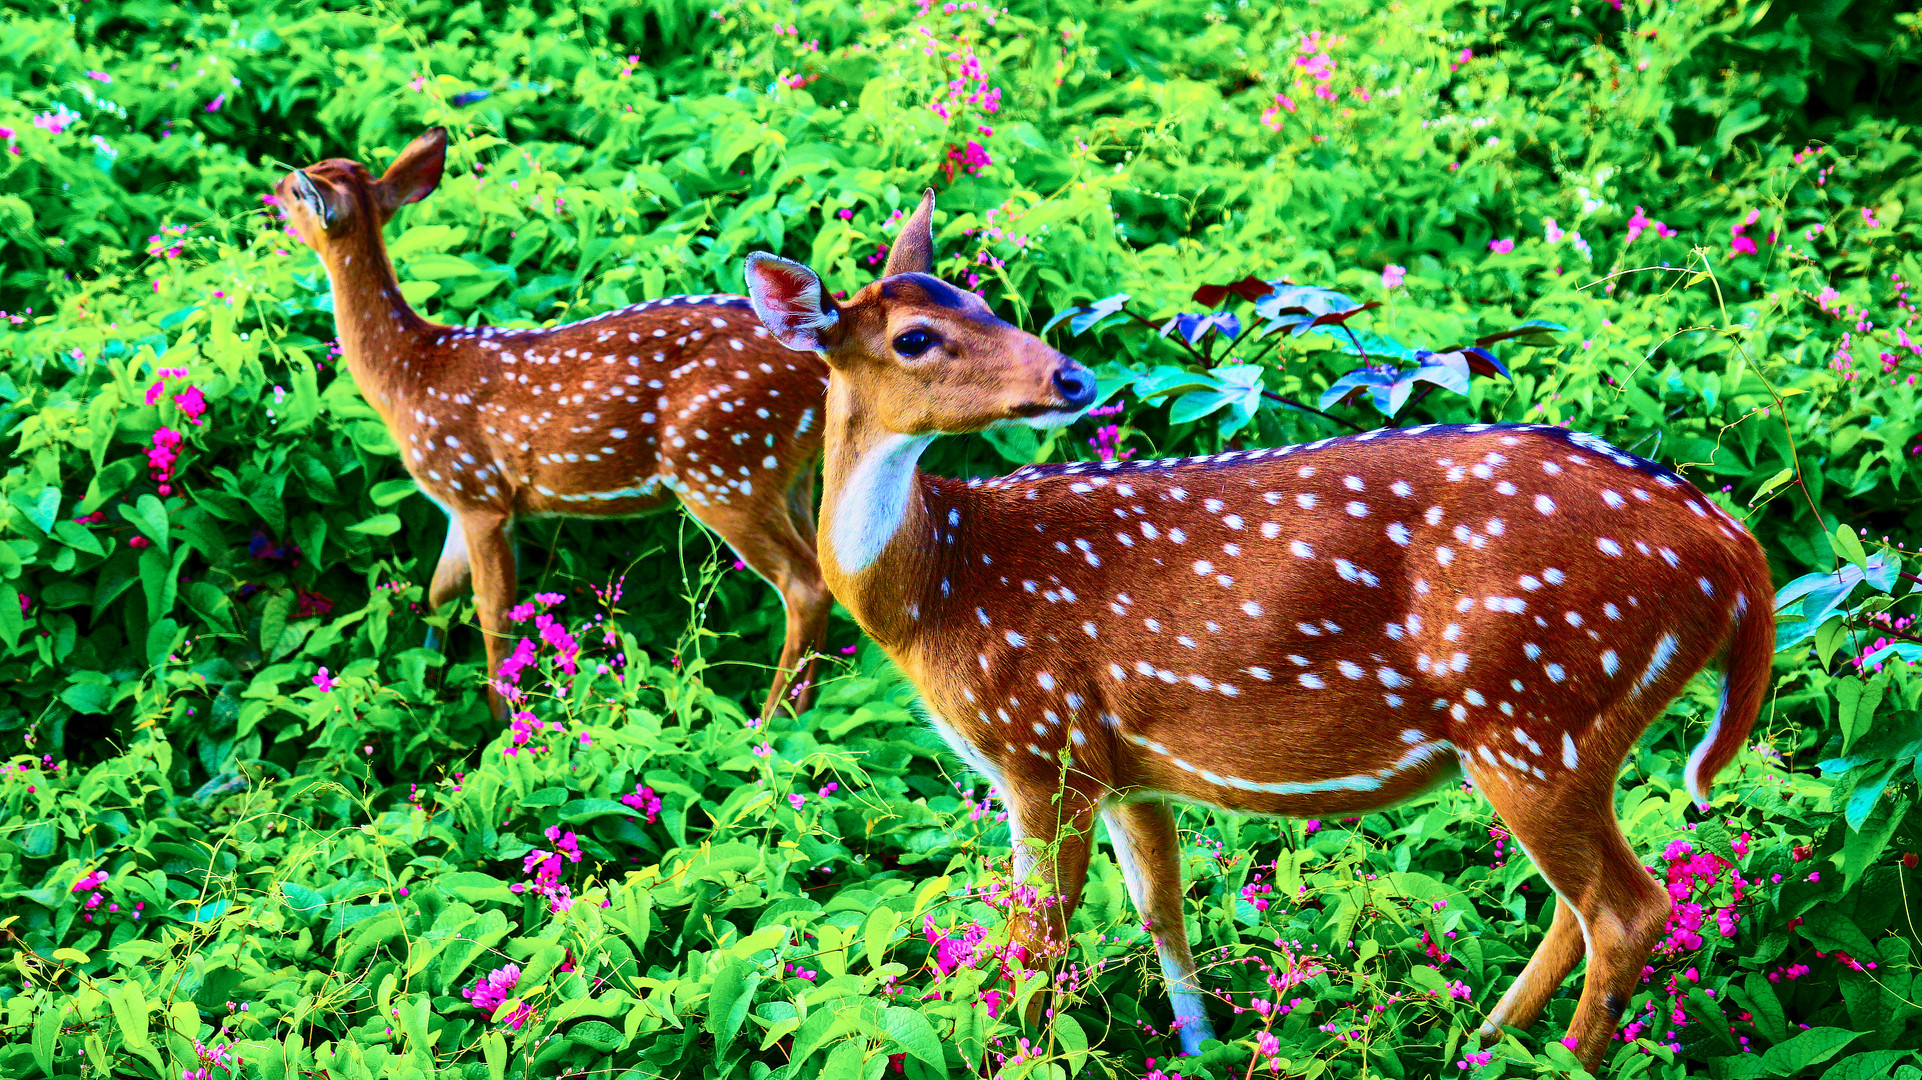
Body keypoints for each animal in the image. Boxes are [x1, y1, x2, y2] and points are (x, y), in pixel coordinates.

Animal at [278, 130, 834, 718]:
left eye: (295, 191)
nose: (273, 187)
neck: (407, 376)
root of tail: (822, 364)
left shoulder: (477, 492)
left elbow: (493, 611)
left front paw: (502, 721)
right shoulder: (458, 502)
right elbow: (439, 593)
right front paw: (430, 680)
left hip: (724, 467)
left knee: (805, 585)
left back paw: (771, 721)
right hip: (788, 472)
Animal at [734, 191, 1768, 1068]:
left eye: (983, 301)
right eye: (917, 335)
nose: (1073, 374)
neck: (939, 586)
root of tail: (1732, 550)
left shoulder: (1039, 744)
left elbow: (1037, 944)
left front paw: (1018, 1054)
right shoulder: (1120, 763)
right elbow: (1160, 907)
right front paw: (1200, 1047)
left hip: (1535, 703)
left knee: (1625, 911)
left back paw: (1547, 1054)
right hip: (1562, 726)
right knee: (1582, 907)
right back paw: (1480, 1041)